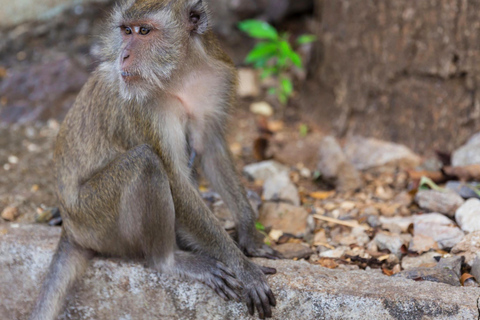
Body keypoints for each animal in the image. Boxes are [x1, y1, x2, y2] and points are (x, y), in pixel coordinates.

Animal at [30, 0, 278, 318]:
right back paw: (170, 259)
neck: (180, 74)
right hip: (95, 221)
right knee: (145, 162)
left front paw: (250, 233)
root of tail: (72, 231)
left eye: (144, 31)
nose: (123, 55)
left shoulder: (218, 77)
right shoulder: (143, 106)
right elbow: (174, 179)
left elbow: (211, 149)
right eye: (126, 31)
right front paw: (245, 269)